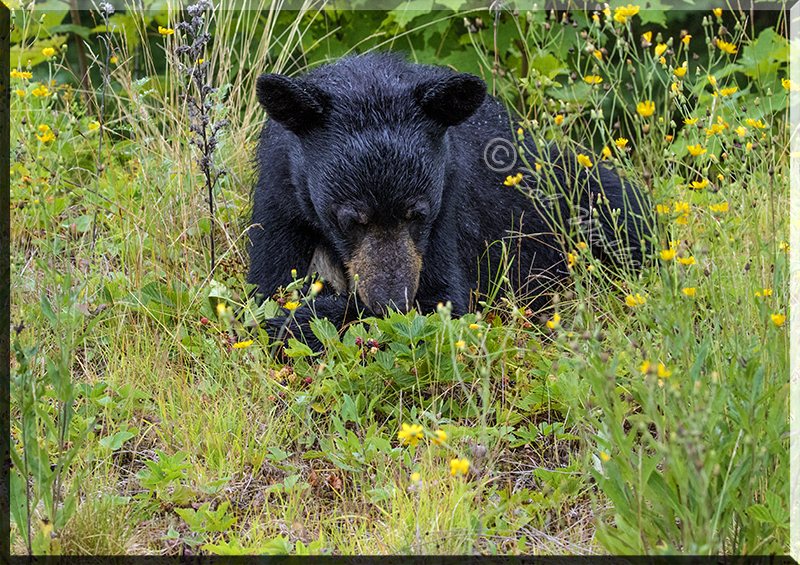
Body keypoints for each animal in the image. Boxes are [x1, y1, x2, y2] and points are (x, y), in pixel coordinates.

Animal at [247, 53, 652, 346]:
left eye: (418, 213)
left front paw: (296, 321)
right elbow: (268, 284)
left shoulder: (449, 209)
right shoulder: (280, 197)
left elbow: (441, 303)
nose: (392, 303)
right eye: (350, 219)